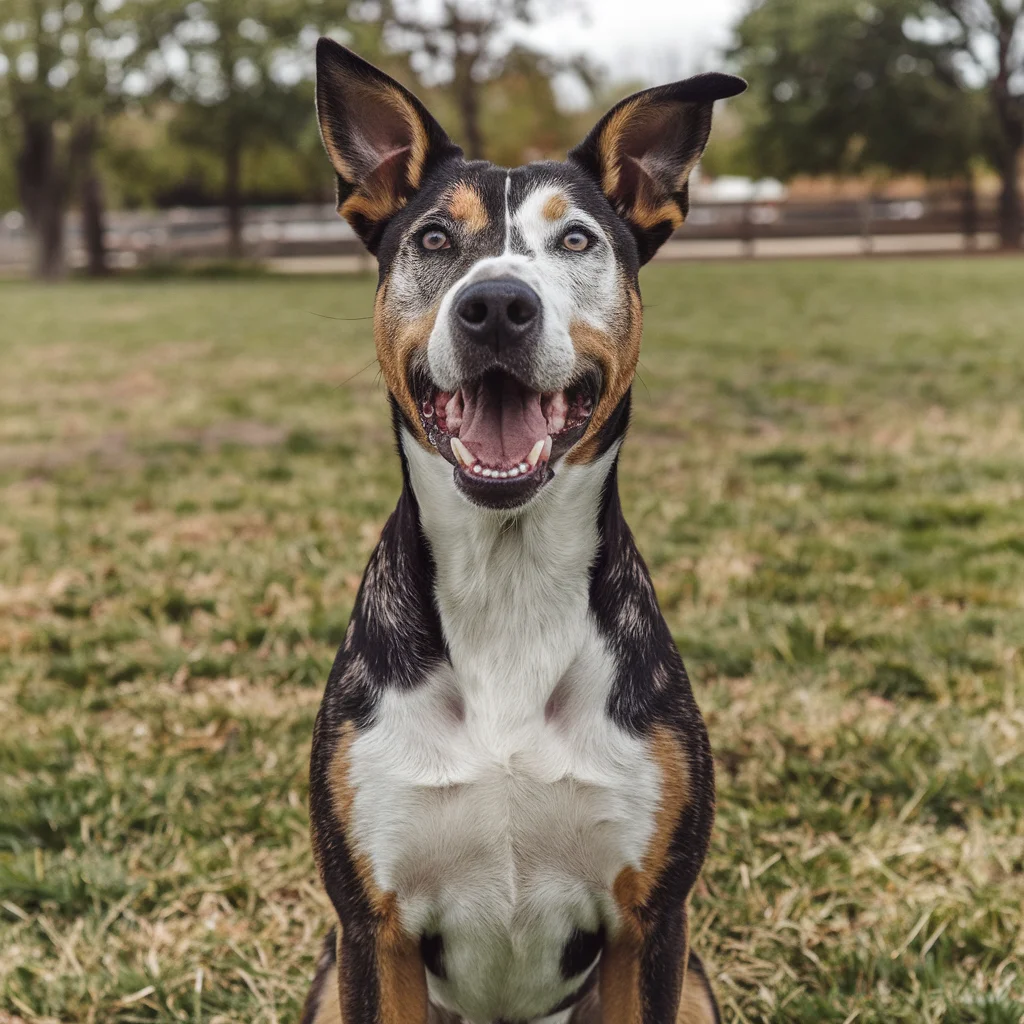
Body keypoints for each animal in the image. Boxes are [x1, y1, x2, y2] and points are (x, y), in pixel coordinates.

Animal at [299, 39, 749, 1024]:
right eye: (435, 239)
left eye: (576, 239)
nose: (498, 304)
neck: (506, 582)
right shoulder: (371, 930)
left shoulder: (651, 924)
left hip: (694, 982)